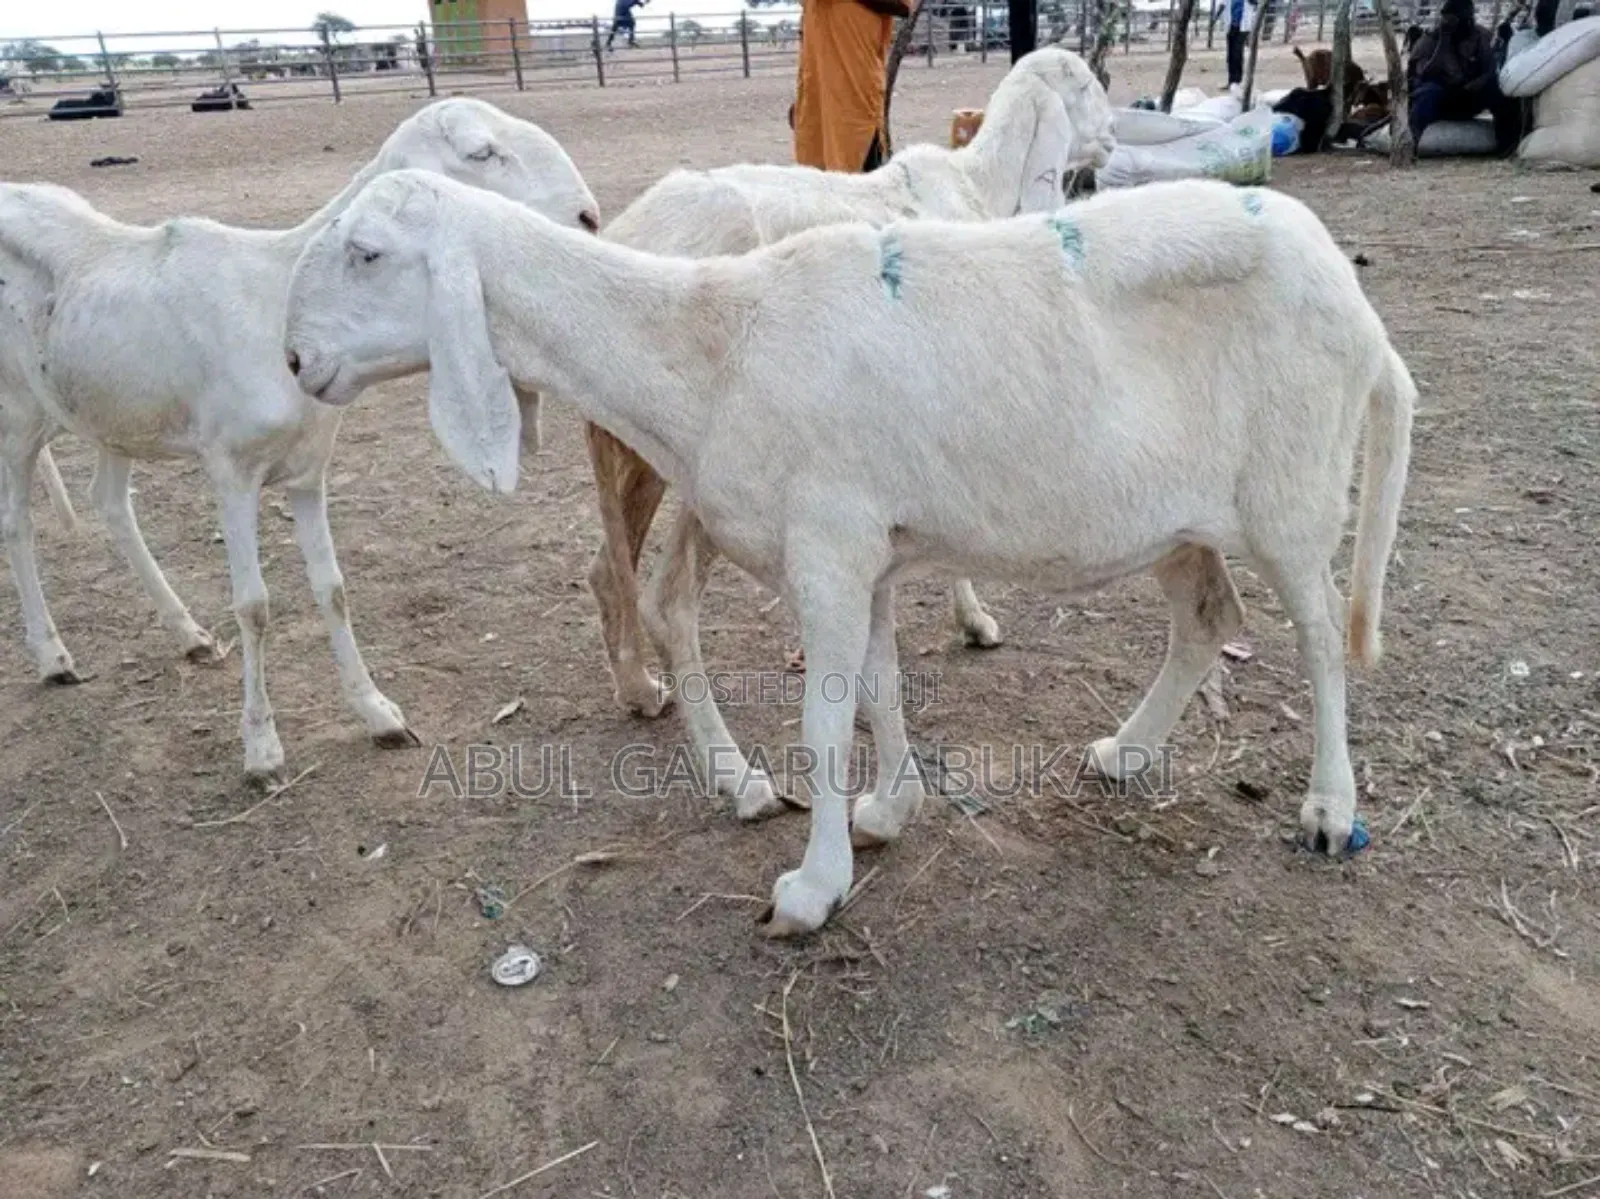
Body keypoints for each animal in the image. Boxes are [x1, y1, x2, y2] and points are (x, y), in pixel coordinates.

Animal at [0, 98, 598, 780]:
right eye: (481, 152)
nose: (588, 218)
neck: (276, 300)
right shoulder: (230, 470)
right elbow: (254, 604)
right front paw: (261, 749)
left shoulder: (310, 471)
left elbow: (332, 589)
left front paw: (380, 715)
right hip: (18, 413)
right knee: (17, 522)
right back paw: (53, 657)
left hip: (107, 411)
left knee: (108, 501)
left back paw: (189, 635)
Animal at [282, 169, 1415, 937]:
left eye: (368, 252)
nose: (295, 359)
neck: (710, 344)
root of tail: (1364, 312)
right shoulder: (864, 547)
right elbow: (878, 685)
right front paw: (888, 808)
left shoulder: (826, 542)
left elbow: (824, 719)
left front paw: (812, 887)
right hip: (1174, 514)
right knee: (1206, 617)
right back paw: (1125, 751)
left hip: (1292, 487)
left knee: (1320, 640)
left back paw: (1329, 806)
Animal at [585, 46, 1116, 819]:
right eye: (1088, 88)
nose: (1113, 139)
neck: (976, 187)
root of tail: (631, 237)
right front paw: (976, 620)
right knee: (667, 596)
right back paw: (739, 779)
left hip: (635, 451)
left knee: (607, 568)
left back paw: (638, 689)